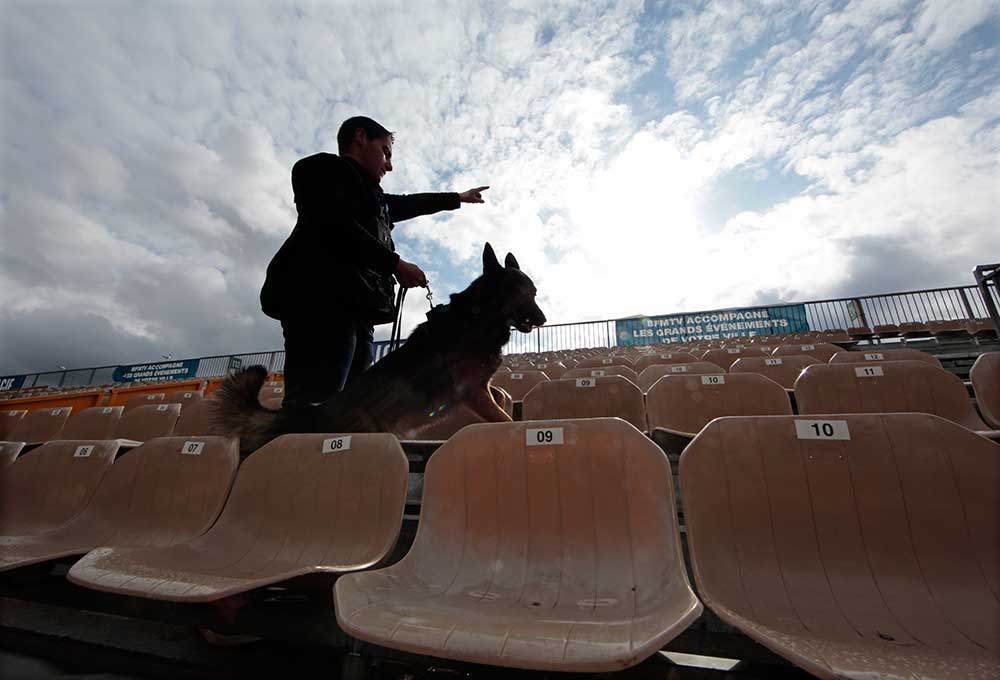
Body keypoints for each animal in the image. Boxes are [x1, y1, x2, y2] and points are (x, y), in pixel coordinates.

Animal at [212, 242, 552, 454]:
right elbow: (503, 416)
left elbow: (500, 396)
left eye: (535, 292)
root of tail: (313, 415)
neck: (479, 316)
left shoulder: (481, 388)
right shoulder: (472, 391)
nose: (543, 320)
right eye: (522, 293)